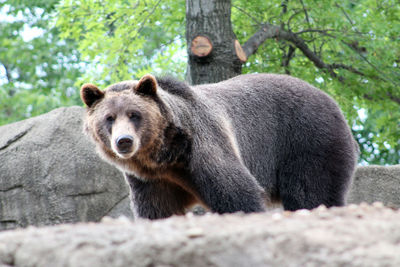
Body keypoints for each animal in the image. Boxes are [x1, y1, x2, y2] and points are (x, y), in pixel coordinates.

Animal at [81, 73, 360, 220]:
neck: (167, 155)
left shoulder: (203, 146)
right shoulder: (153, 180)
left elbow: (236, 190)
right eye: (109, 118)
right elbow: (156, 209)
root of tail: (332, 101)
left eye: (134, 114)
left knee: (311, 191)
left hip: (307, 139)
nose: (124, 141)